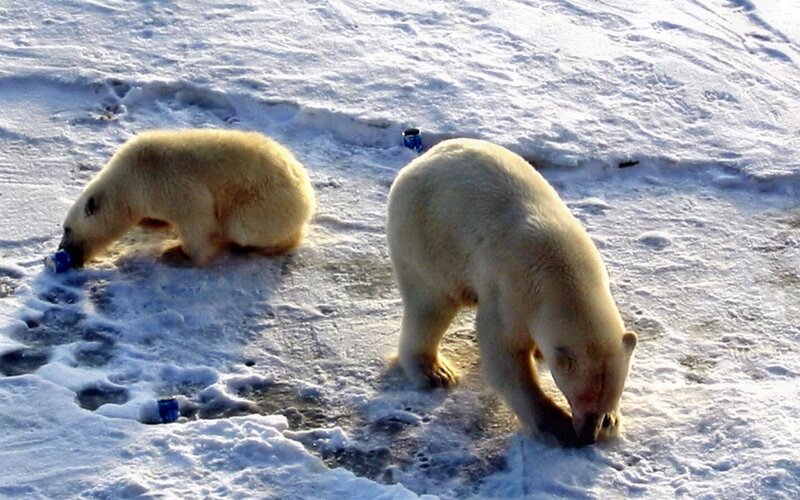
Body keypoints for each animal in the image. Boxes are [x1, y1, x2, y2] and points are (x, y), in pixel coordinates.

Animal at [59, 129, 315, 267]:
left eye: (67, 230)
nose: (63, 252)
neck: (129, 179)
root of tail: (307, 197)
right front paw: (152, 222)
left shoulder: (166, 182)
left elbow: (197, 216)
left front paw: (176, 254)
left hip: (265, 203)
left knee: (242, 226)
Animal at [386, 138, 637, 447]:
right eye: (583, 397)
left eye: (609, 396)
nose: (588, 436)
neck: (563, 271)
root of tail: (417, 162)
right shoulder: (513, 289)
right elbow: (504, 353)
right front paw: (556, 424)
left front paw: (611, 421)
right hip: (428, 238)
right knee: (430, 304)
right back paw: (435, 372)